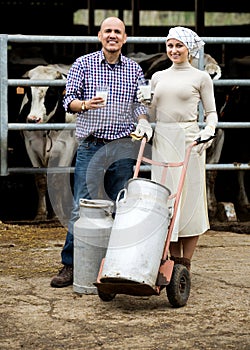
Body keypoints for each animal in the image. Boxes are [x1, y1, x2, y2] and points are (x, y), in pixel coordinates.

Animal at [18, 64, 77, 220]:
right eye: (29, 93)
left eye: (51, 93)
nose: (33, 119)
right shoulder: (30, 146)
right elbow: (41, 180)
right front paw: (41, 213)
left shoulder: (68, 146)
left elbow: (57, 179)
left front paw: (57, 214)